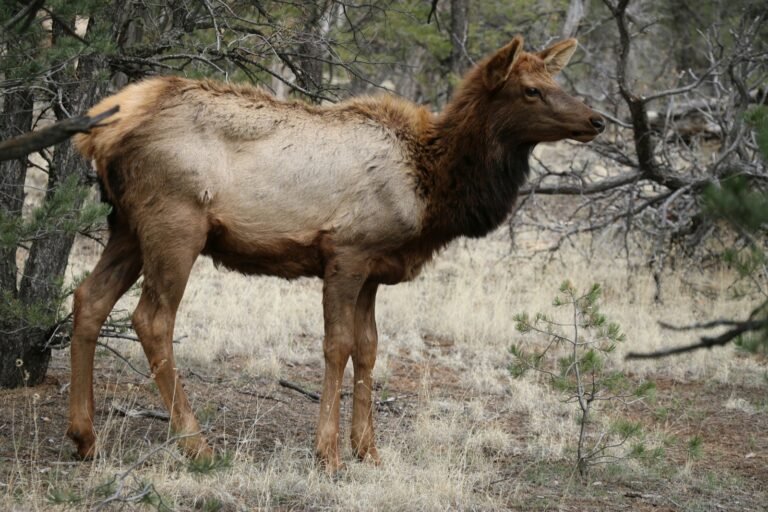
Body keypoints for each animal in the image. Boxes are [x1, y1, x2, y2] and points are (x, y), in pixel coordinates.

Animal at [68, 35, 604, 472]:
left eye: (555, 79)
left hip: (125, 227)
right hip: (175, 224)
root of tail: (99, 133)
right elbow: (337, 345)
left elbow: (369, 349)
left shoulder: (374, 269)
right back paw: (196, 444)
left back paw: (85, 437)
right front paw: (328, 453)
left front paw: (368, 449)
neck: (432, 190)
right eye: (530, 90)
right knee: (152, 318)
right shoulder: (346, 252)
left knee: (89, 298)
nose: (596, 119)